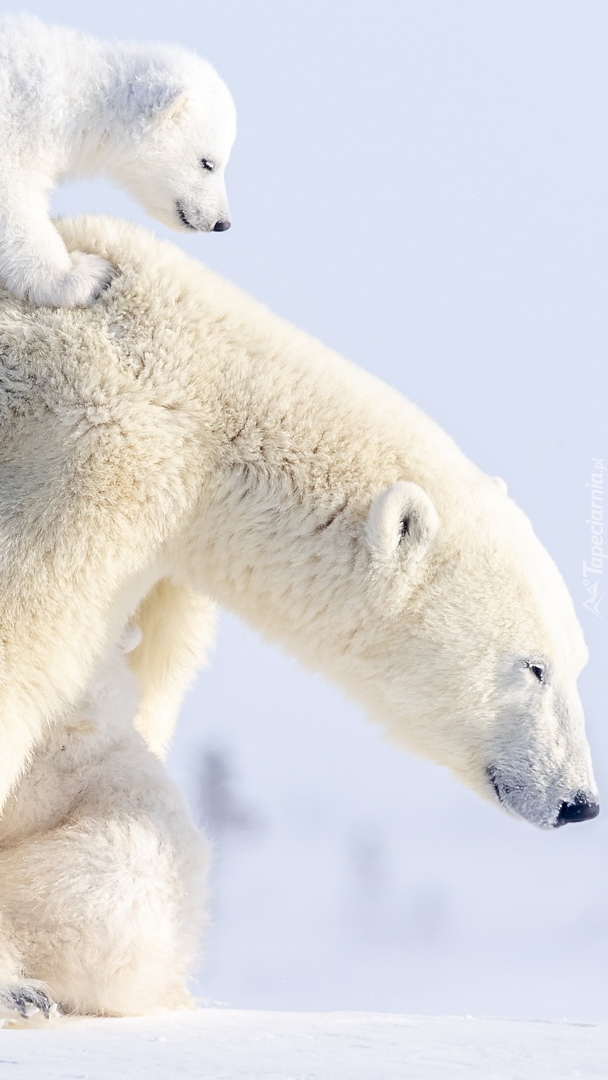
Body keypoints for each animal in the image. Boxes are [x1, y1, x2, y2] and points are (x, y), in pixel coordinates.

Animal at [0, 214, 600, 1015]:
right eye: (533, 666)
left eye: (576, 661)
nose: (579, 801)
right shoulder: (84, 458)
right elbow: (22, 645)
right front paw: (16, 983)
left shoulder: (164, 560)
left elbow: (137, 691)